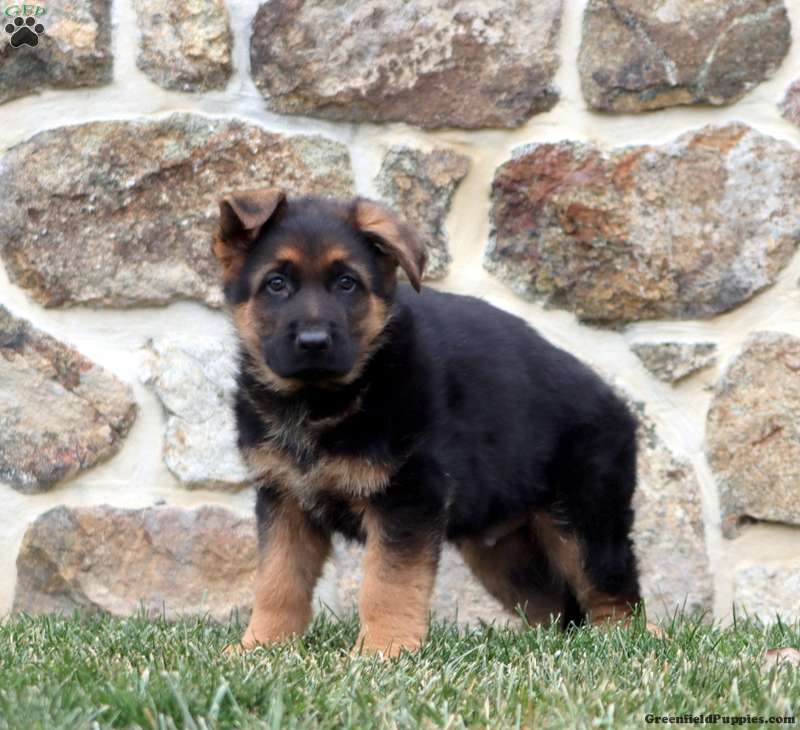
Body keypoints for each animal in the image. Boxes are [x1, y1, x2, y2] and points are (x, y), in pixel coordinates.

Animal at [213, 190, 643, 656]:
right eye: (276, 284)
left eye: (347, 283)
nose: (313, 343)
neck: (323, 400)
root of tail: (620, 409)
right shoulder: (285, 499)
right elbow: (278, 579)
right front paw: (261, 646)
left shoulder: (408, 496)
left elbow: (388, 581)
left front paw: (383, 649)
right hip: (503, 551)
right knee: (557, 608)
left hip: (585, 521)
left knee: (614, 592)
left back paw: (619, 642)